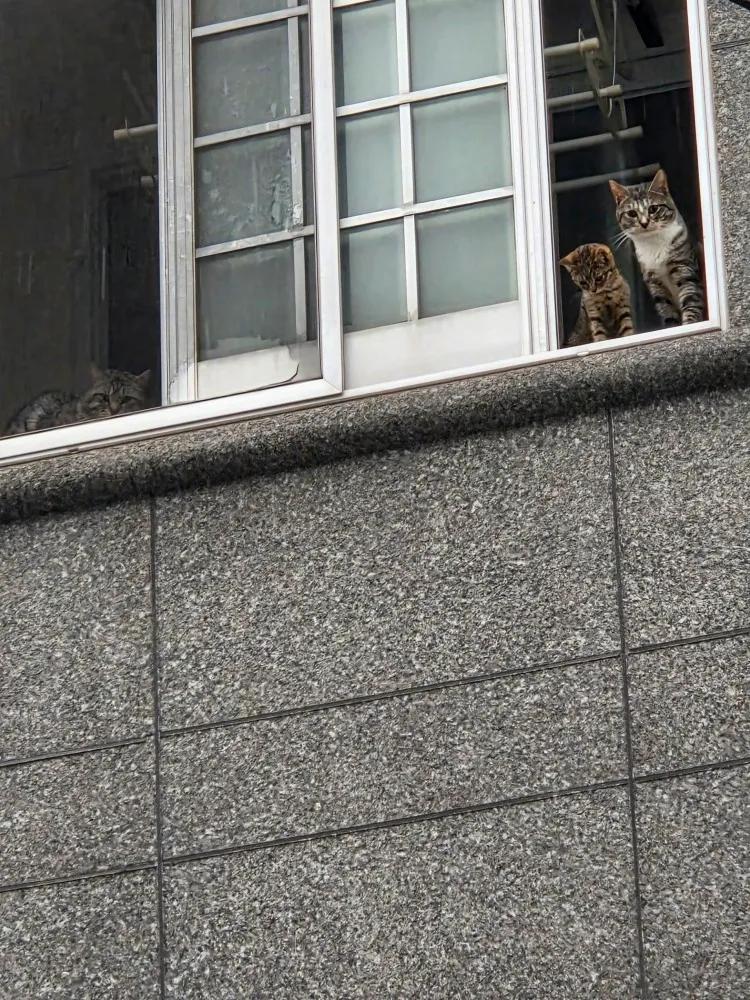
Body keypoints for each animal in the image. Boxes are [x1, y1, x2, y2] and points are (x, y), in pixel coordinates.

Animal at [609, 168, 705, 326]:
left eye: (653, 209)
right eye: (632, 213)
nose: (644, 223)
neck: (654, 244)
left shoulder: (684, 267)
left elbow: (690, 298)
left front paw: (689, 323)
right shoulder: (654, 280)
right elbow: (666, 308)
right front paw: (672, 326)